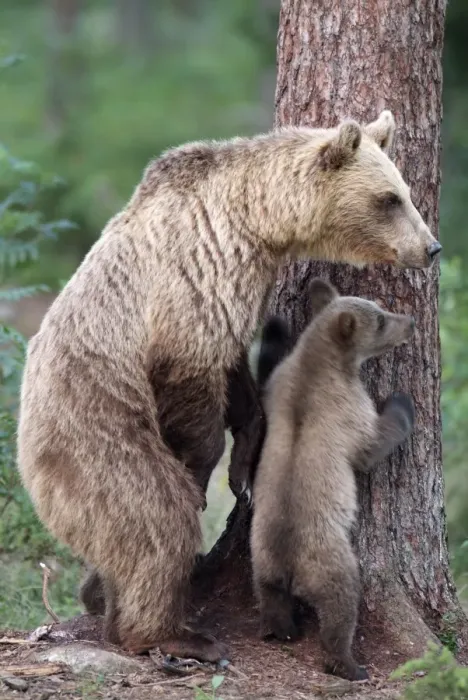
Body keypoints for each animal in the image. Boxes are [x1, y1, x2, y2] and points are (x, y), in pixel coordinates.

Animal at [251, 279, 416, 681]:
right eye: (381, 319)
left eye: (381, 307)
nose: (411, 321)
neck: (323, 360)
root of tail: (290, 567)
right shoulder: (347, 408)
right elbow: (372, 443)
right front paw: (402, 401)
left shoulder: (278, 386)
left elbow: (267, 374)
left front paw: (276, 328)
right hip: (331, 558)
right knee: (341, 607)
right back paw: (350, 665)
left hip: (260, 554)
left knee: (270, 596)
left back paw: (281, 630)